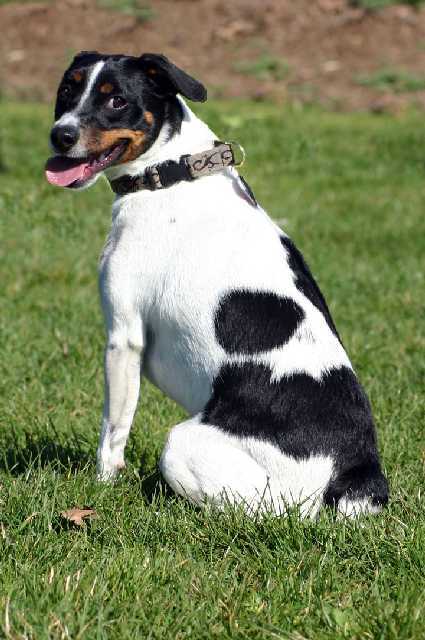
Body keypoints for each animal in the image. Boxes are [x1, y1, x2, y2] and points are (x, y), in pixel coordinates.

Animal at [45, 52, 388, 516]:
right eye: (67, 89)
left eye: (116, 100)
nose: (59, 136)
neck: (168, 173)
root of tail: (353, 476)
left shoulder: (124, 337)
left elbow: (112, 432)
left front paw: (101, 488)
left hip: (185, 445)